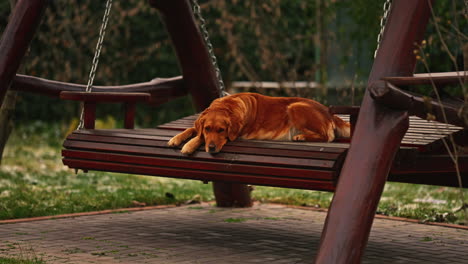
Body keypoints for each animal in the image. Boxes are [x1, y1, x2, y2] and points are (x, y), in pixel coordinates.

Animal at [166, 93, 350, 154]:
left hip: (294, 106)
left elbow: (199, 137)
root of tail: (329, 112)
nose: (211, 149)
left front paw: (188, 146)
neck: (228, 105)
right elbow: (193, 129)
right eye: (207, 128)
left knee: (328, 136)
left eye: (221, 130)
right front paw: (176, 138)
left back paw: (302, 137)